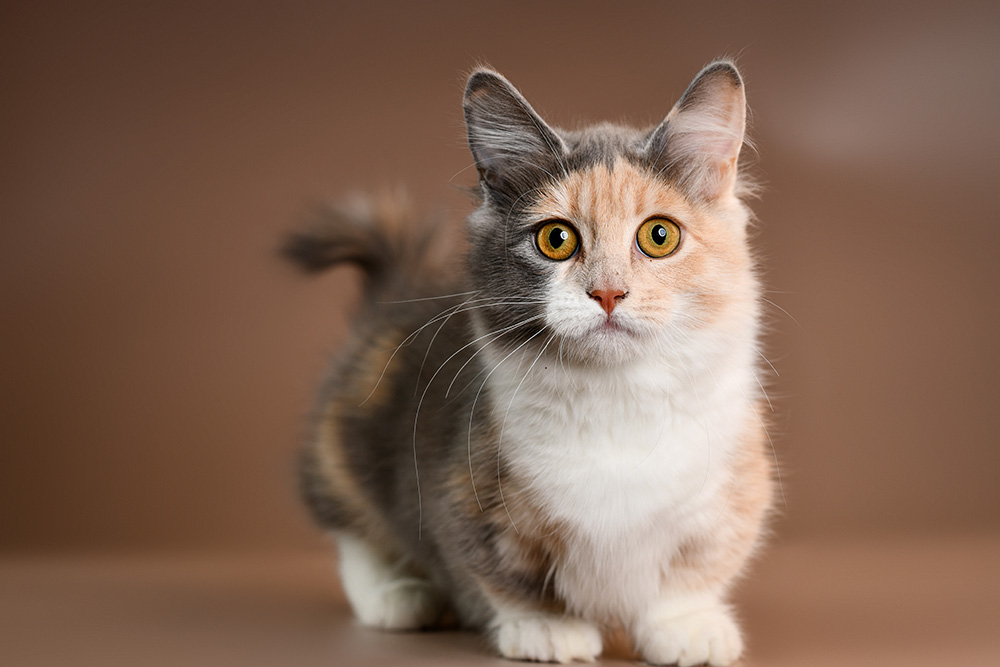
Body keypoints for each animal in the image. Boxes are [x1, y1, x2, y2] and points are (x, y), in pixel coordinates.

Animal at [286, 60, 776, 664]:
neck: (615, 400)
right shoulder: (465, 492)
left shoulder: (733, 490)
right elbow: (504, 574)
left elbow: (696, 569)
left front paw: (686, 626)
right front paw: (546, 627)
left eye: (659, 236)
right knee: (353, 529)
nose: (608, 292)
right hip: (347, 435)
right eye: (556, 239)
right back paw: (398, 595)